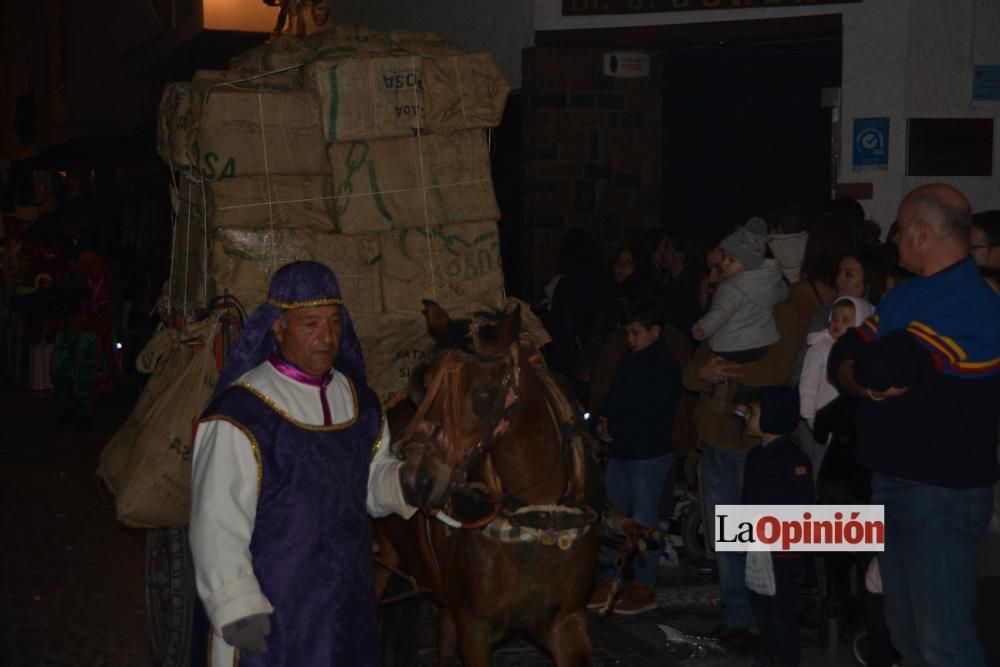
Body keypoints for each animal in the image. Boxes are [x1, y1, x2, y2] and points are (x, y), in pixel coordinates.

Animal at [376, 302, 604, 667]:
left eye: (483, 394)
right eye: (422, 382)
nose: (415, 481)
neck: (536, 517)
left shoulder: (568, 619)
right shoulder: (475, 629)